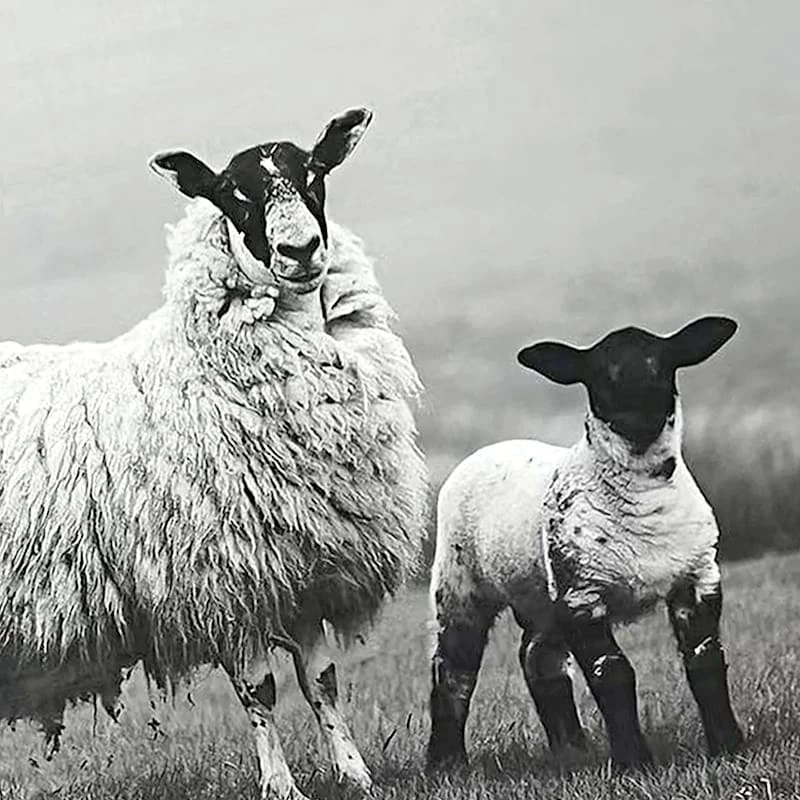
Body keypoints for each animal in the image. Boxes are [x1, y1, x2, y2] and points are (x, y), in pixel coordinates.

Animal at [0, 107, 428, 799]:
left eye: (315, 172)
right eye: (233, 193)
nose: (300, 251)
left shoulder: (300, 570)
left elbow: (322, 683)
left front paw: (355, 774)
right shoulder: (221, 577)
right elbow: (261, 691)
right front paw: (281, 787)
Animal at [426, 316, 744, 772]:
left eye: (661, 364)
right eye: (598, 374)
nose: (637, 417)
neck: (642, 500)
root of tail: (489, 448)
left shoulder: (698, 578)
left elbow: (706, 660)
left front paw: (729, 746)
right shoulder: (581, 593)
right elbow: (611, 672)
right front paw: (633, 762)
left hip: (542, 594)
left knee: (538, 657)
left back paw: (571, 747)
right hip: (461, 586)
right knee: (453, 670)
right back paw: (446, 762)